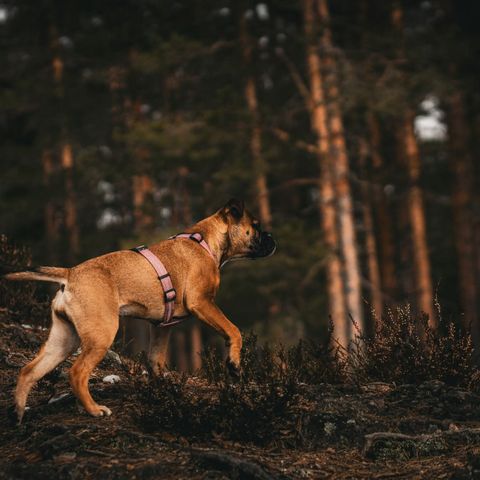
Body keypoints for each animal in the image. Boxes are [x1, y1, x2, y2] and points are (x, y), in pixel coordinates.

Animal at [4, 198, 276, 423]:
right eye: (256, 226)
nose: (272, 238)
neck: (205, 242)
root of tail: (70, 274)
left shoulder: (161, 327)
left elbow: (156, 360)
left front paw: (164, 392)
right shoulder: (203, 303)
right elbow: (234, 330)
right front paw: (234, 363)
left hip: (63, 339)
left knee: (28, 371)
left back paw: (18, 414)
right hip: (101, 334)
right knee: (77, 373)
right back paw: (94, 409)